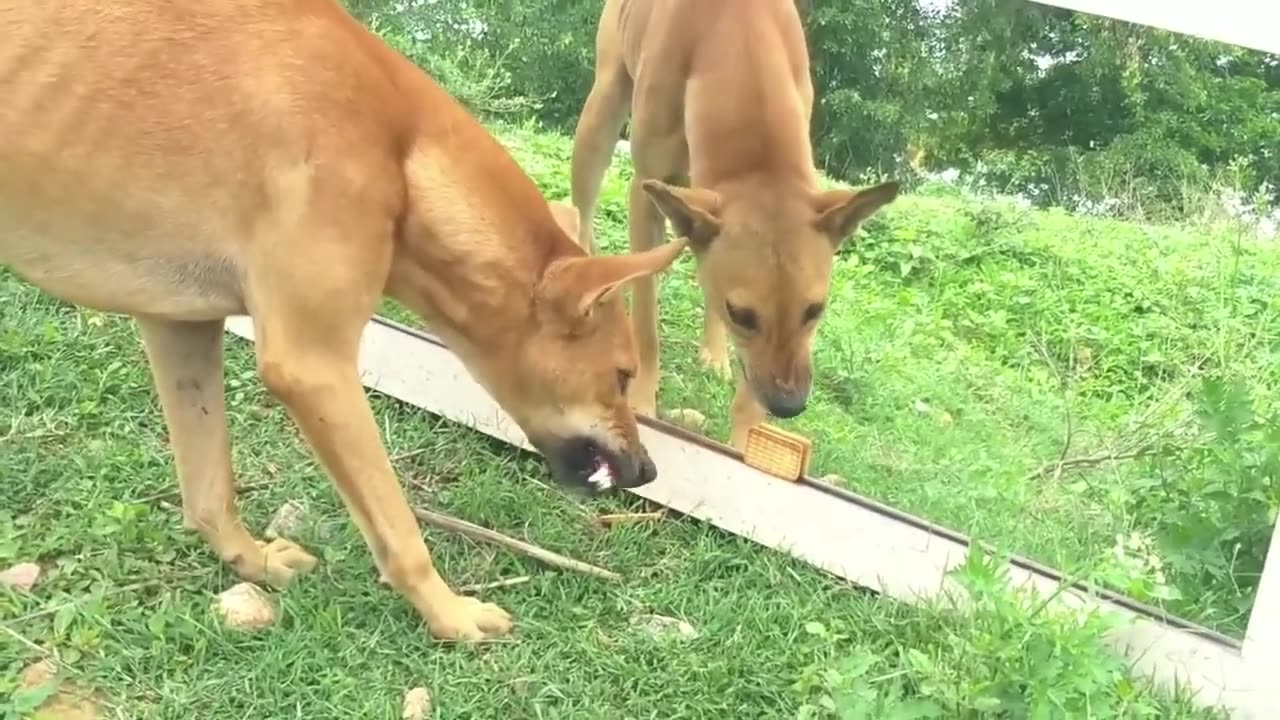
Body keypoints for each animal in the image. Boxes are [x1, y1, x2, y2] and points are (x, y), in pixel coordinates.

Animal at [0, 0, 691, 638]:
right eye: (623, 375)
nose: (651, 471)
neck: (400, 150)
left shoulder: (180, 327)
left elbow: (209, 491)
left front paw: (251, 563)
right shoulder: (314, 367)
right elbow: (399, 528)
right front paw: (450, 614)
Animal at [570, 0, 901, 445]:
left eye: (815, 310)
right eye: (743, 315)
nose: (788, 405)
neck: (737, 36)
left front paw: (746, 437)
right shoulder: (645, 193)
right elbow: (646, 319)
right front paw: (641, 402)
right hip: (602, 110)